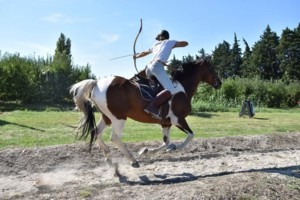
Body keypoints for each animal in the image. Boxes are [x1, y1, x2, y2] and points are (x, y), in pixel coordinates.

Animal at [69, 57, 220, 167]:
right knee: (115, 138)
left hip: (107, 117)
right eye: (211, 68)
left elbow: (166, 142)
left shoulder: (166, 123)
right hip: (119, 118)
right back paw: (132, 160)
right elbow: (190, 135)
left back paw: (109, 157)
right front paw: (176, 148)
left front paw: (147, 151)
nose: (219, 83)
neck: (181, 87)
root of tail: (96, 83)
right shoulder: (178, 119)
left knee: (96, 132)